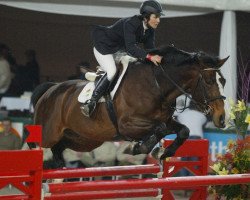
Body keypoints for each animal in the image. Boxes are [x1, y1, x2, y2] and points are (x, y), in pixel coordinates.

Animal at [29, 45, 229, 167]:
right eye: (210, 81)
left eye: (224, 81)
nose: (222, 118)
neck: (157, 85)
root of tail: (50, 89)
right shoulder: (127, 125)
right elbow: (159, 128)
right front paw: (140, 147)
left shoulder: (166, 120)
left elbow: (183, 131)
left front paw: (162, 153)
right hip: (48, 133)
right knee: (35, 144)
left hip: (81, 140)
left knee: (58, 149)